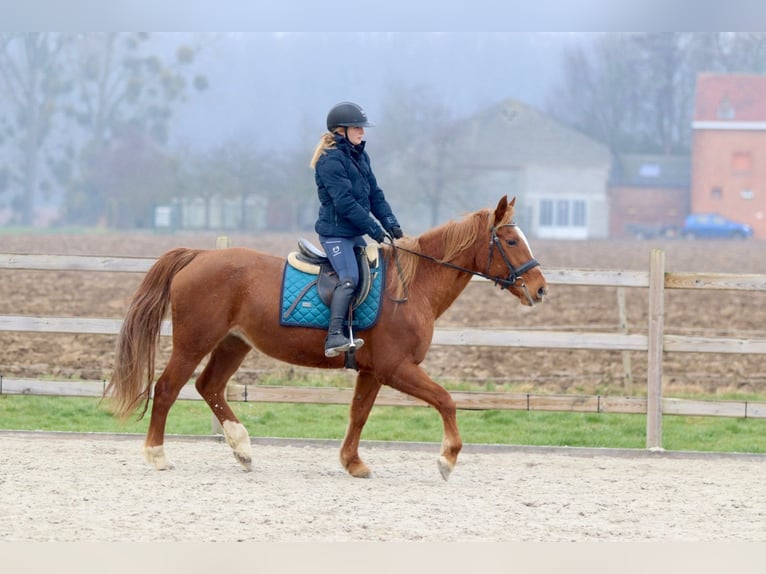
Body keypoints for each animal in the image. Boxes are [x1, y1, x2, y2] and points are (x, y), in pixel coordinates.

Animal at [104, 195, 547, 480]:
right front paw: (447, 459)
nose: (540, 289)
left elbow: (359, 414)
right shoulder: (397, 368)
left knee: (209, 386)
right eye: (511, 241)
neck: (412, 286)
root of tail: (199, 256)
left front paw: (353, 463)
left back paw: (242, 449)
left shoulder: (372, 371)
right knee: (167, 388)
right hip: (194, 342)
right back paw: (158, 455)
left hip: (233, 343)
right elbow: (446, 400)